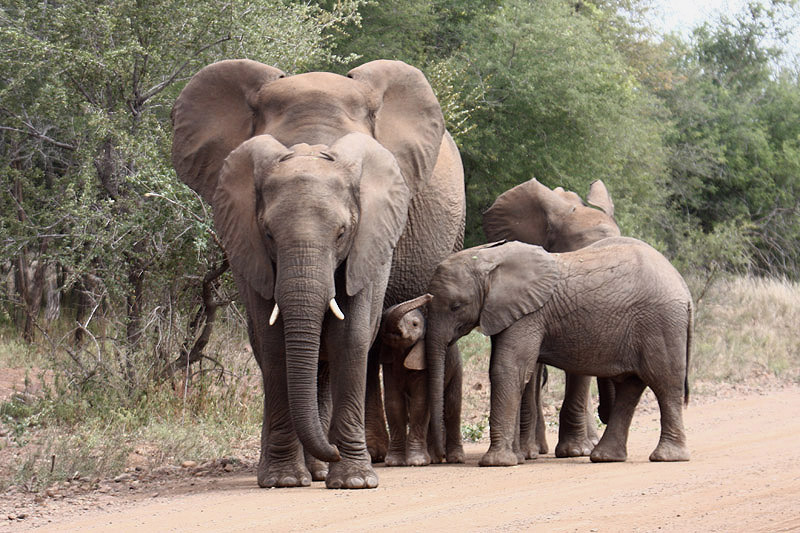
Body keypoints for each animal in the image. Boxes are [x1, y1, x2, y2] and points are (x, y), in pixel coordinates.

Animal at [378, 294, 464, 466]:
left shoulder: (422, 362)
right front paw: (394, 462)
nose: (429, 296)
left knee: (452, 407)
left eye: (415, 324)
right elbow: (394, 403)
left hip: (456, 368)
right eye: (383, 319)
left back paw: (453, 459)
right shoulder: (389, 364)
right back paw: (434, 459)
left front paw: (417, 462)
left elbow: (420, 403)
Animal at [424, 238, 692, 467]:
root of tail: (683, 287)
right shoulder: (511, 313)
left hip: (661, 323)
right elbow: (519, 373)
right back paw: (606, 457)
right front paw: (517, 459)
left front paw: (497, 463)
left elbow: (507, 369)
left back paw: (667, 457)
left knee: (664, 383)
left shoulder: (529, 315)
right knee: (631, 387)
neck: (489, 258)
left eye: (456, 306)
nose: (442, 457)